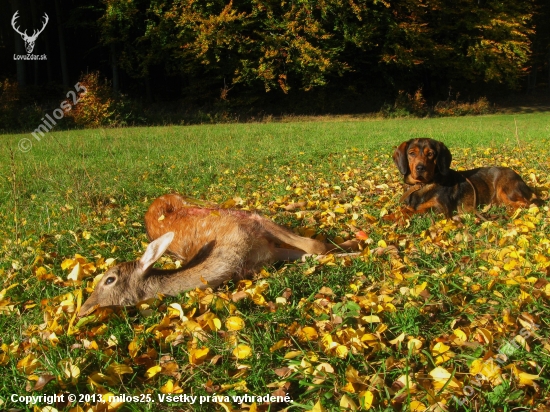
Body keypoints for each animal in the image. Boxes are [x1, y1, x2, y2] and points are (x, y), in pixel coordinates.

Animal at [80, 193, 360, 316]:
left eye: (109, 279)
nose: (83, 309)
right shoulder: (268, 254)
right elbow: (311, 254)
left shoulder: (252, 222)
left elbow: (316, 247)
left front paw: (361, 248)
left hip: (211, 205)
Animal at [392, 138, 544, 217]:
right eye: (411, 153)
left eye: (430, 154)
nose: (420, 168)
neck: (422, 185)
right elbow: (404, 209)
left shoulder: (441, 209)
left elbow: (411, 211)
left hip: (505, 188)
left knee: (527, 204)